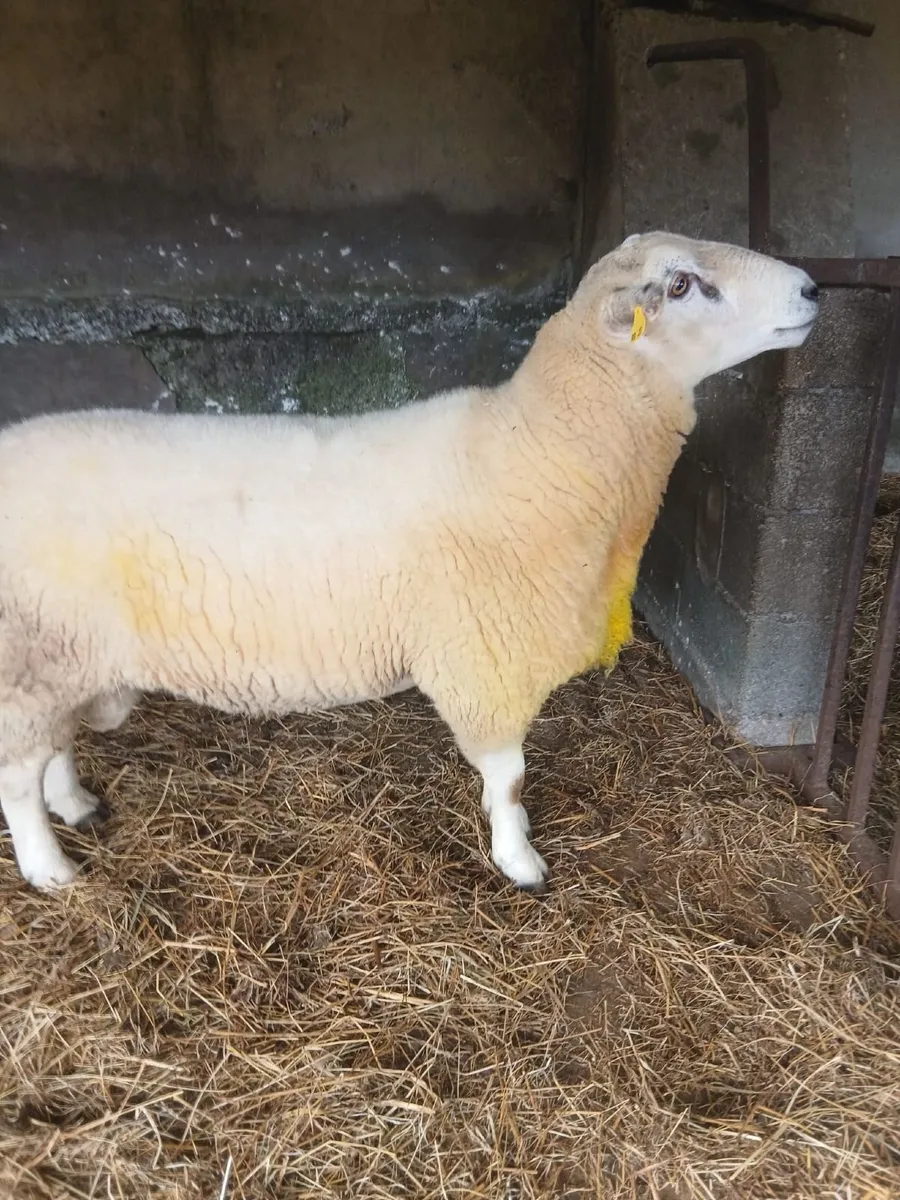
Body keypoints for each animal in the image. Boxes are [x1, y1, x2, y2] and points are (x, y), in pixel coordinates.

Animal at [0, 231, 819, 893]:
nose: (813, 288)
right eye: (682, 285)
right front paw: (521, 862)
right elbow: (510, 782)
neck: (544, 451)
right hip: (33, 655)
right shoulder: (485, 663)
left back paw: (75, 804)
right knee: (15, 778)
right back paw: (50, 869)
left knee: (54, 745)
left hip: (64, 658)